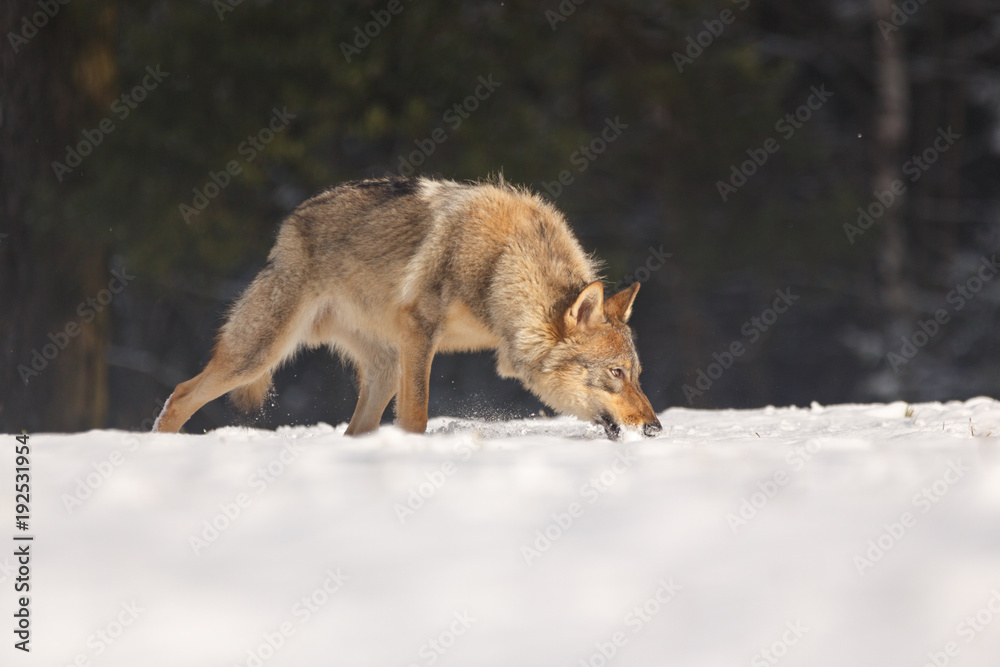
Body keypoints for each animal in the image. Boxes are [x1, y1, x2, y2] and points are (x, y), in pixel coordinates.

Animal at [153, 177, 662, 439]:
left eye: (637, 375)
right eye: (615, 373)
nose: (655, 428)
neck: (500, 265)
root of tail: (290, 224)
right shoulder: (421, 332)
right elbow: (416, 415)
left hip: (381, 369)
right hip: (259, 355)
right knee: (178, 395)